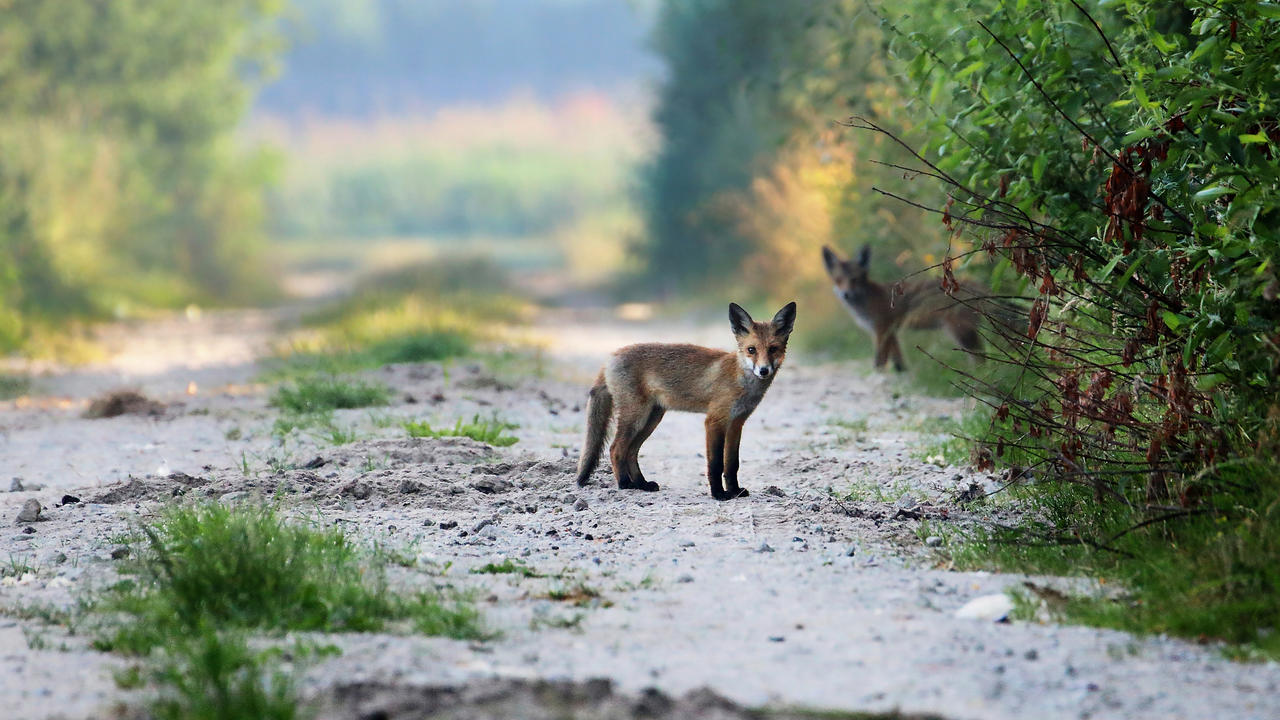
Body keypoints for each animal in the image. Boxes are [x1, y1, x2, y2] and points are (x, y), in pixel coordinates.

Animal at [576, 301, 793, 499]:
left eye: (773, 349)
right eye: (751, 350)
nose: (763, 370)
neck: (740, 379)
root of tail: (611, 357)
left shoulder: (736, 423)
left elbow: (732, 464)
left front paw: (735, 491)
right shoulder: (715, 421)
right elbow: (715, 464)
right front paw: (718, 494)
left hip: (651, 419)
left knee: (631, 451)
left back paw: (642, 484)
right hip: (636, 417)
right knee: (616, 449)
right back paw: (625, 483)